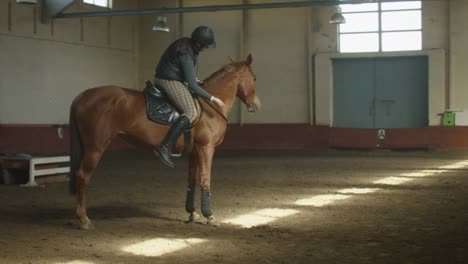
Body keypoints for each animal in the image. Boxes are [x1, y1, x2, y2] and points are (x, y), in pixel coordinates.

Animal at [68, 53, 260, 229]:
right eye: (254, 78)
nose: (257, 105)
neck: (210, 105)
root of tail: (82, 95)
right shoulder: (206, 148)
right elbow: (206, 179)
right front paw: (210, 216)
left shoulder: (195, 150)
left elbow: (192, 180)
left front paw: (193, 214)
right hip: (95, 147)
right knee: (83, 175)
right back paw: (84, 219)